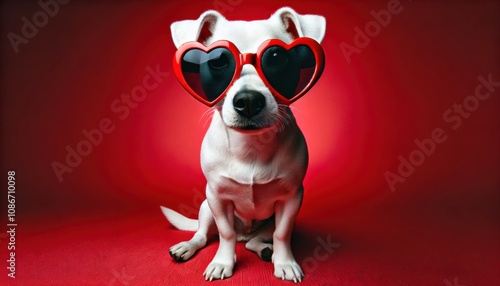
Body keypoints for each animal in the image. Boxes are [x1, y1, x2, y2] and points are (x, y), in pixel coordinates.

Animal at [160, 6, 324, 282]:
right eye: (218, 62)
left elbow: (282, 234)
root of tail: (244, 233)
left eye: (277, 58)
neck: (251, 145)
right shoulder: (216, 197)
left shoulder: (292, 199)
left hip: (267, 222)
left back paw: (266, 250)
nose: (248, 100)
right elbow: (225, 233)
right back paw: (187, 247)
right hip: (205, 208)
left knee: (255, 241)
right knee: (204, 235)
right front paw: (222, 262)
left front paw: (285, 262)